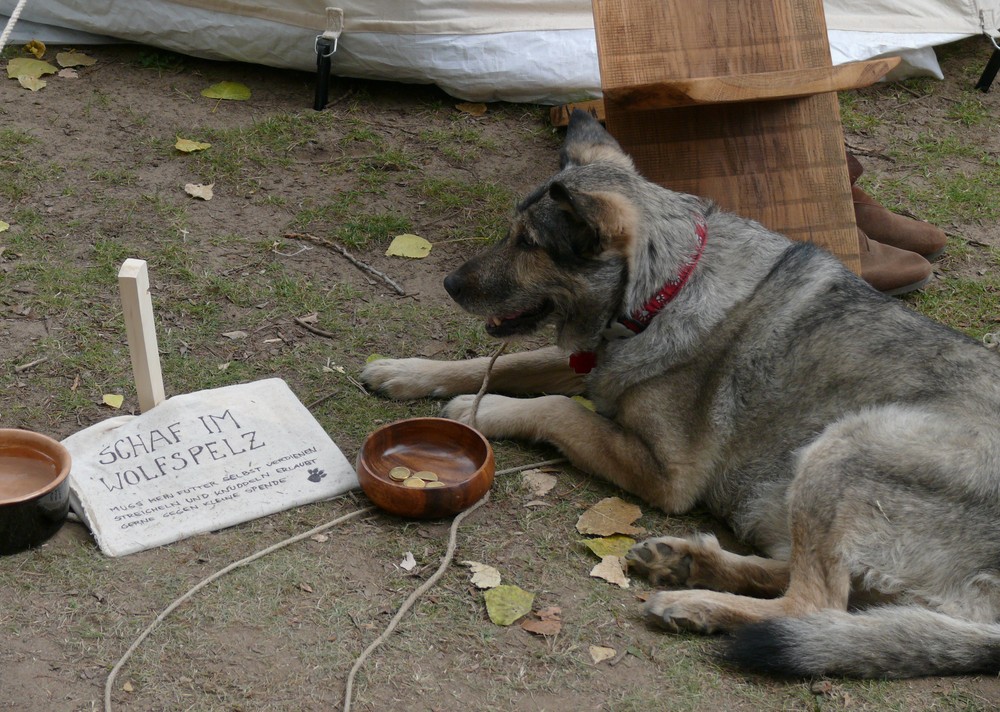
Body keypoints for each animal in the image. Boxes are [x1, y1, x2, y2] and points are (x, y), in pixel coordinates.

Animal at [364, 111, 1000, 680]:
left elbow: (556, 408)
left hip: (847, 447)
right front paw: (407, 372)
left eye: (530, 243)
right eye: (510, 234)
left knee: (812, 604)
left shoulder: (664, 474)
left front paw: (481, 410)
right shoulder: (590, 361)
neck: (666, 288)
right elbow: (511, 363)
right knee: (804, 579)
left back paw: (694, 604)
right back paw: (688, 563)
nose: (449, 284)